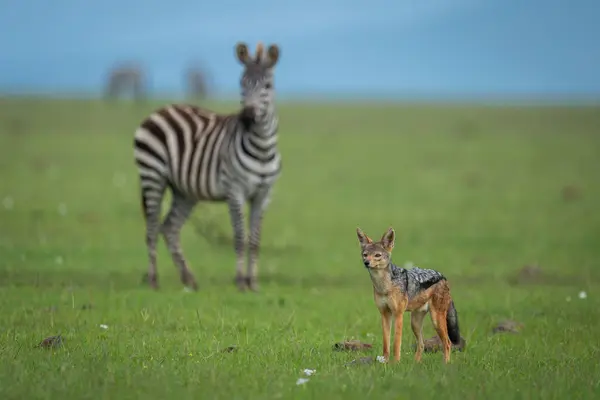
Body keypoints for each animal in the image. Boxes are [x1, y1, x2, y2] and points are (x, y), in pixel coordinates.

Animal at [133, 42, 282, 294]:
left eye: (267, 86)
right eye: (242, 83)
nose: (247, 116)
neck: (262, 148)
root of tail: (161, 110)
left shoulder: (264, 194)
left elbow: (255, 240)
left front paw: (253, 283)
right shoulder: (235, 191)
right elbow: (240, 237)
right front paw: (240, 282)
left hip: (184, 192)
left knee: (170, 229)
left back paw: (189, 279)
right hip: (152, 175)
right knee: (152, 229)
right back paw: (154, 281)